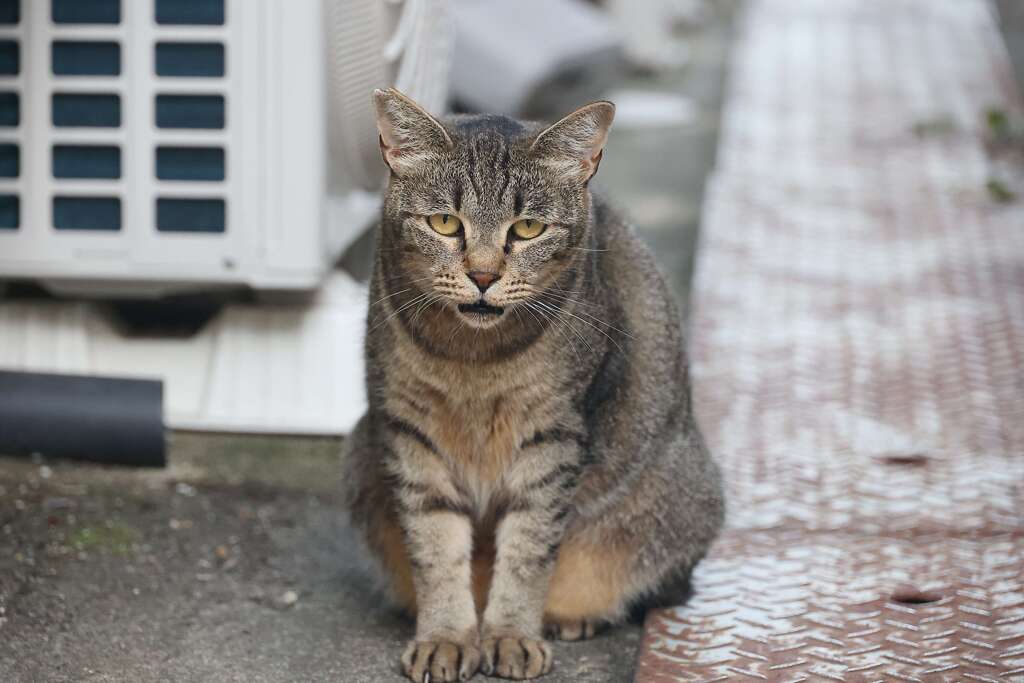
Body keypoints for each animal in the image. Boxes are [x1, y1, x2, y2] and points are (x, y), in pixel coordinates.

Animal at [342, 88, 720, 679]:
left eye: (527, 229)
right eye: (445, 223)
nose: (482, 275)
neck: (472, 360)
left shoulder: (553, 436)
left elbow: (527, 549)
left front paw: (511, 634)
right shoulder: (408, 430)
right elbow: (435, 547)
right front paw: (446, 634)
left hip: (679, 498)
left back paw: (566, 618)